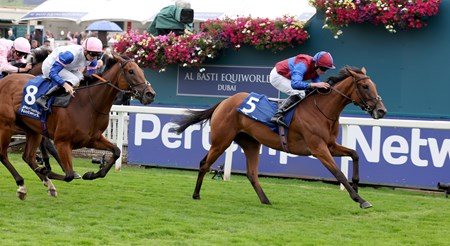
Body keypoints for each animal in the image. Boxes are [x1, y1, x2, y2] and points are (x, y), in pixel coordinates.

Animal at [0, 54, 156, 200]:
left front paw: (91, 174)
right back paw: (22, 184)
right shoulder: (62, 142)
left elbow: (116, 151)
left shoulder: (92, 139)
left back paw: (47, 185)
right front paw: (46, 170)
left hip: (33, 130)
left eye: (141, 71)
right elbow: (68, 175)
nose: (150, 94)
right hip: (6, 126)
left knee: (28, 157)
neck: (87, 104)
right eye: (131, 71)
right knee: (3, 154)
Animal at [173, 66, 386, 209]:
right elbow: (338, 173)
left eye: (373, 85)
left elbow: (355, 154)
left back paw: (266, 200)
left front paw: (357, 186)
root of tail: (224, 102)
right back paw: (196, 194)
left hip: (250, 143)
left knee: (251, 173)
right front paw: (361, 200)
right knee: (204, 164)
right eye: (365, 86)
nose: (381, 110)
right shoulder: (318, 148)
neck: (322, 110)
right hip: (221, 141)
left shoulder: (330, 145)